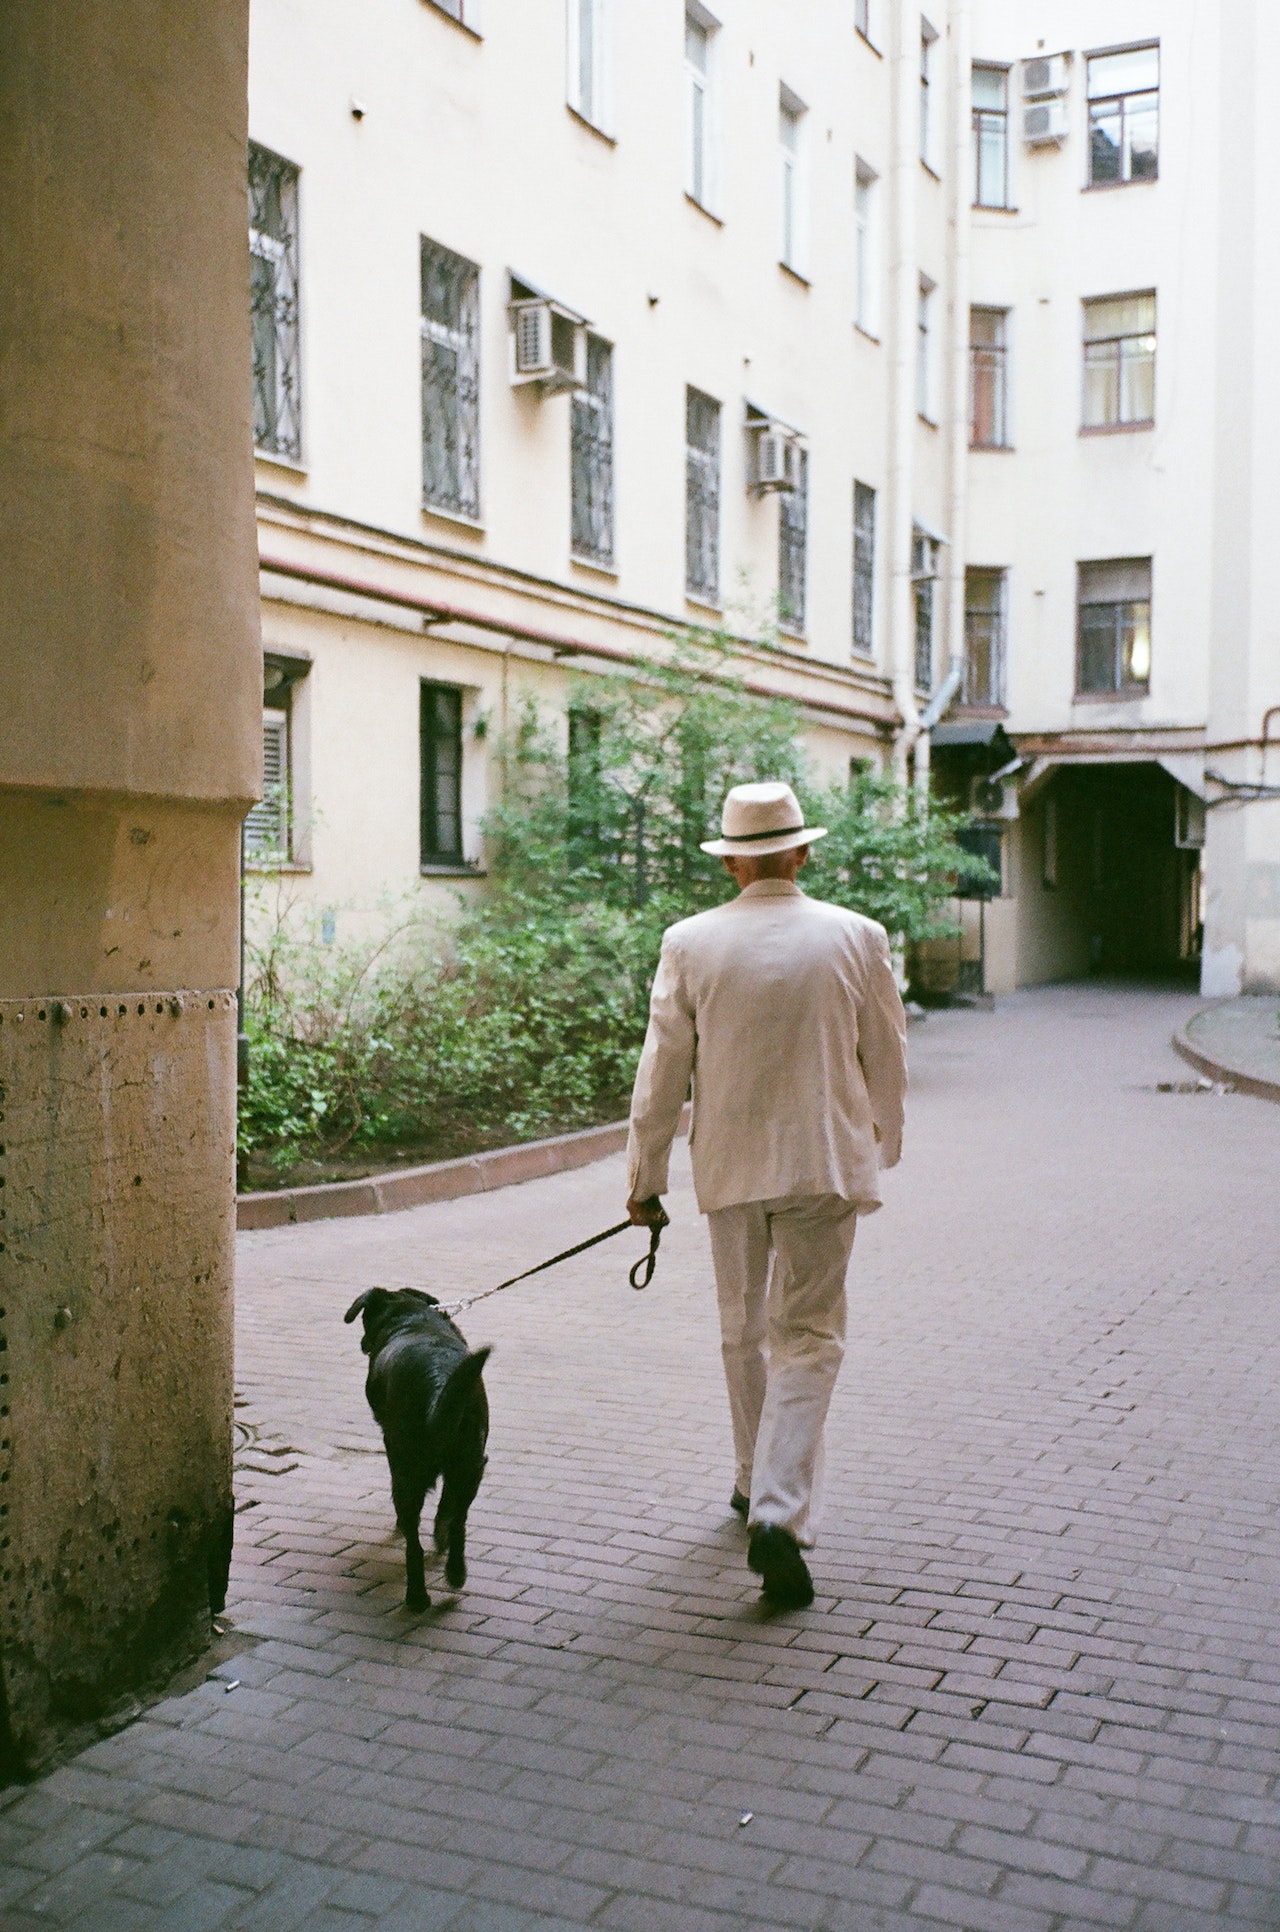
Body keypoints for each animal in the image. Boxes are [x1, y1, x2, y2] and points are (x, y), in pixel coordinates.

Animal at [343, 1298, 492, 1615]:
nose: (363, 1344)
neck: (412, 1318)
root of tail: (438, 1382)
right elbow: (447, 1509)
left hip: (407, 1474)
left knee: (414, 1542)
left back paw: (417, 1597)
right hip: (471, 1467)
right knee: (457, 1521)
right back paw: (455, 1571)